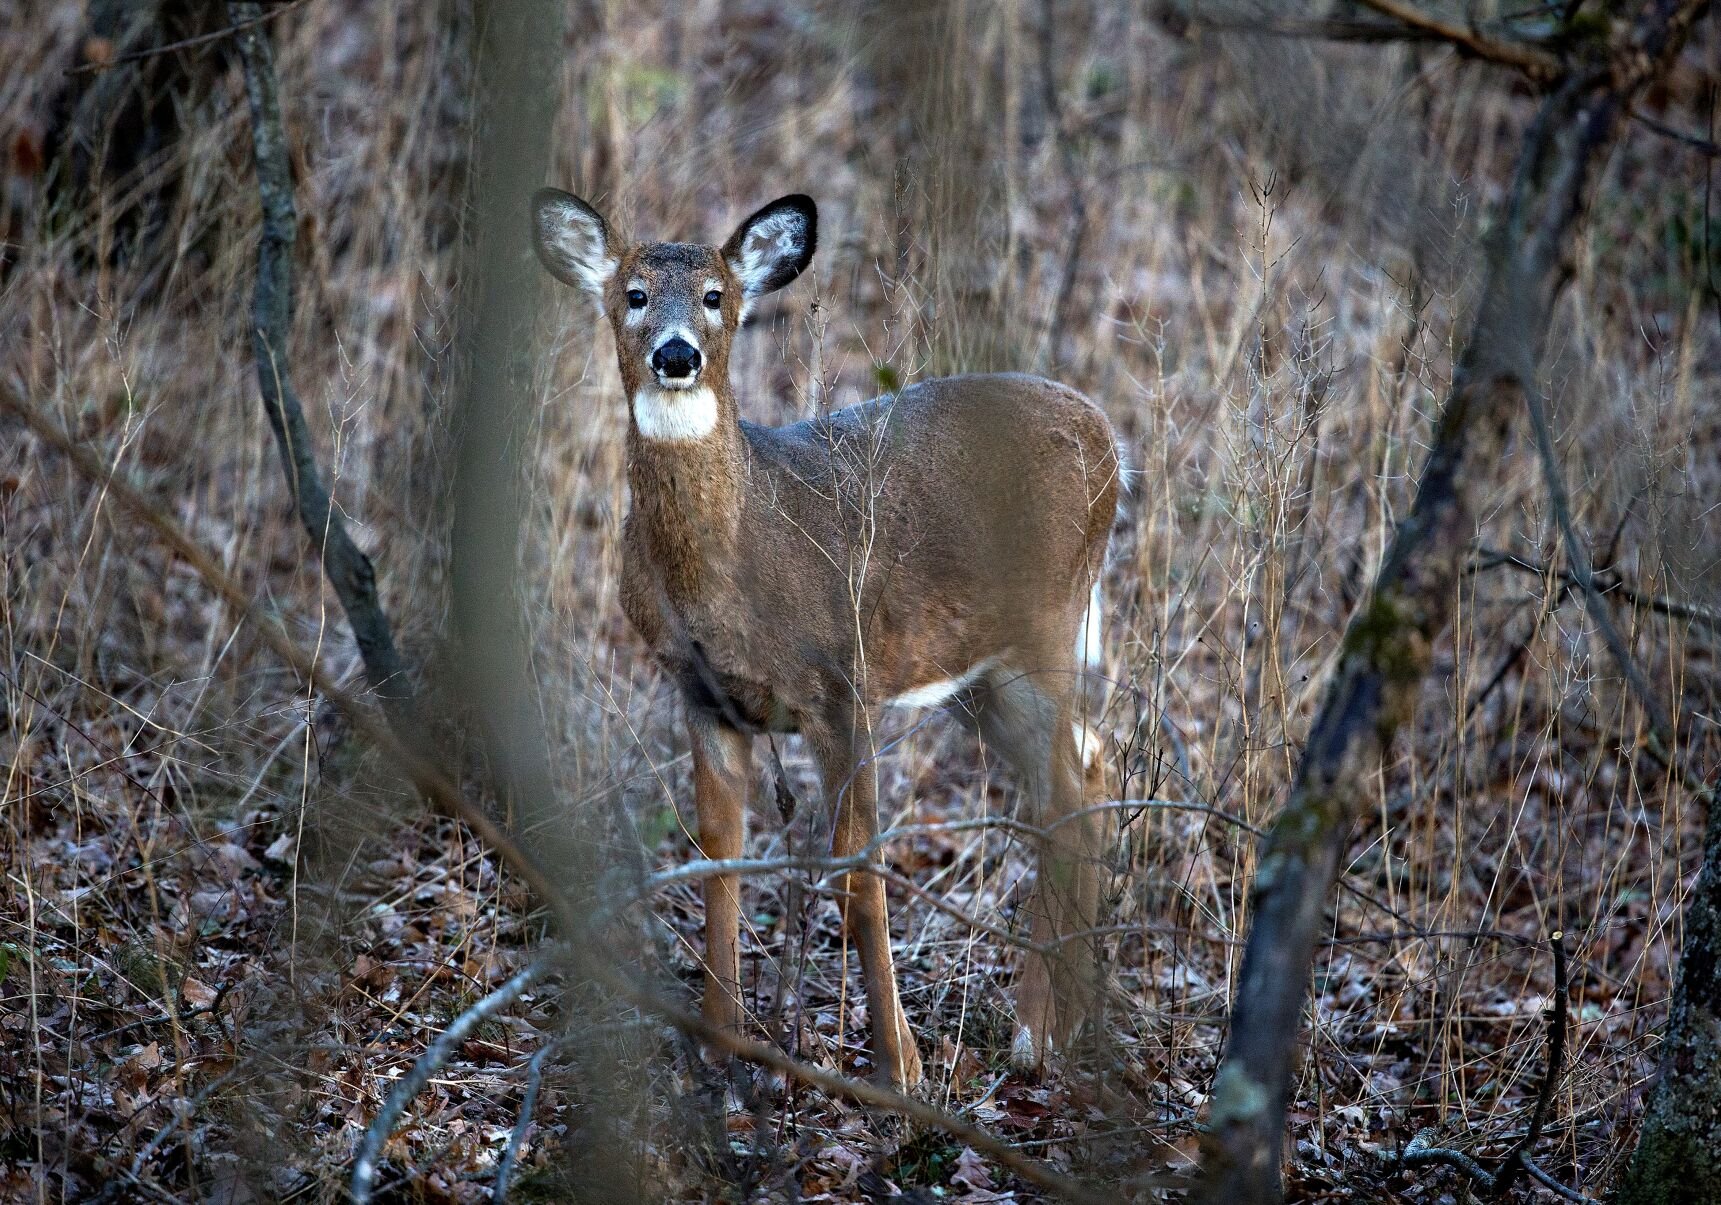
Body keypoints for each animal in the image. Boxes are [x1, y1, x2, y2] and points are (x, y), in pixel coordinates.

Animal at [530, 185, 1122, 1081]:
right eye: (633, 295)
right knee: (1086, 768)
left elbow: (860, 874)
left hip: (1045, 625)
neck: (734, 558)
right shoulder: (704, 694)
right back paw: (1070, 1017)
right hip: (977, 670)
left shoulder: (840, 684)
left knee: (1063, 785)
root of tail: (1106, 435)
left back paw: (1035, 1032)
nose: (676, 354)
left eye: (715, 297)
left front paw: (899, 1064)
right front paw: (722, 1039)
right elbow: (719, 856)